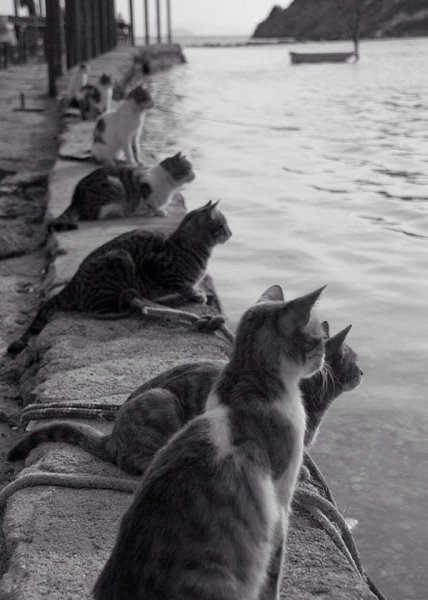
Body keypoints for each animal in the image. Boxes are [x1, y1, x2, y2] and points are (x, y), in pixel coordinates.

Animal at [7, 201, 231, 356]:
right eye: (223, 226)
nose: (231, 233)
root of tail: (72, 283)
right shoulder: (158, 267)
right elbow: (183, 285)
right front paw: (196, 294)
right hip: (119, 260)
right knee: (96, 308)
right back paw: (122, 308)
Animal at [48, 152, 195, 232]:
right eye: (188, 169)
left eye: (191, 169)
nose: (194, 175)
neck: (170, 186)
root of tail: (76, 197)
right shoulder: (145, 186)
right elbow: (151, 202)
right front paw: (158, 211)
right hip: (114, 185)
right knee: (91, 216)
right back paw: (119, 213)